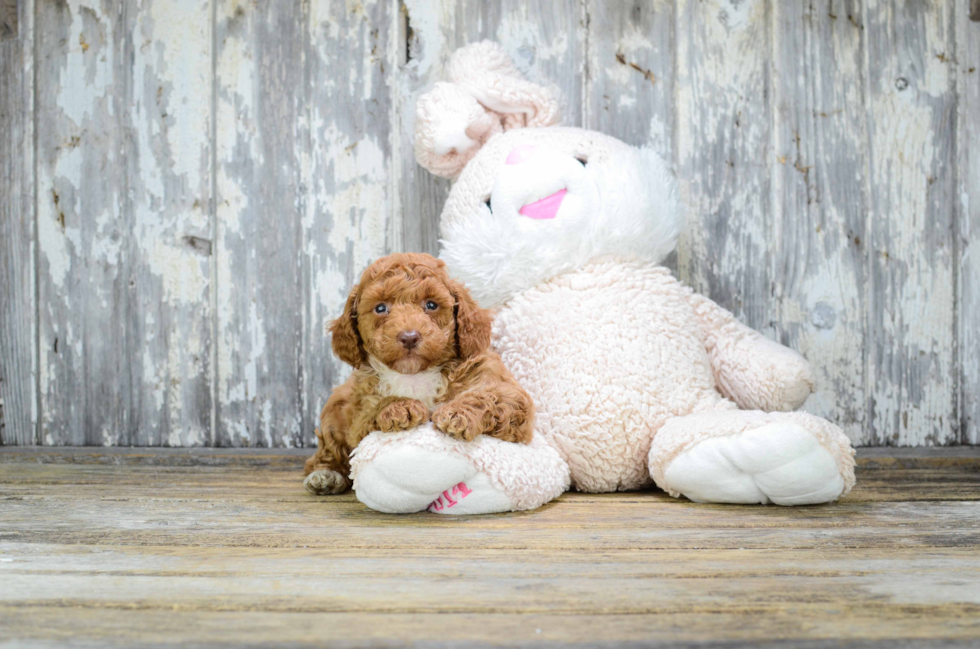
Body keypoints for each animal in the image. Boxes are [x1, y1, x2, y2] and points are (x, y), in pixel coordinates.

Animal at [306, 251, 536, 494]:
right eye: (380, 308)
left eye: (431, 304)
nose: (409, 337)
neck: (416, 374)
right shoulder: (359, 418)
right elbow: (373, 411)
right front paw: (399, 407)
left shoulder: (510, 397)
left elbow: (487, 396)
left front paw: (457, 413)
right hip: (333, 414)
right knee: (326, 451)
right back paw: (325, 475)